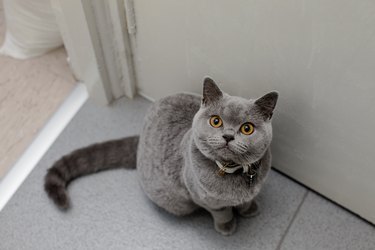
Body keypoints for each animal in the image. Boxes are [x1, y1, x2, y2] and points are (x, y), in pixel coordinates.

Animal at [44, 77, 280, 235]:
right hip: (178, 202)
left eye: (247, 128)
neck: (234, 171)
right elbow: (222, 211)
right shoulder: (202, 197)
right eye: (216, 121)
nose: (228, 136)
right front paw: (227, 226)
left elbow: (247, 201)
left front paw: (250, 209)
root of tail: (140, 139)